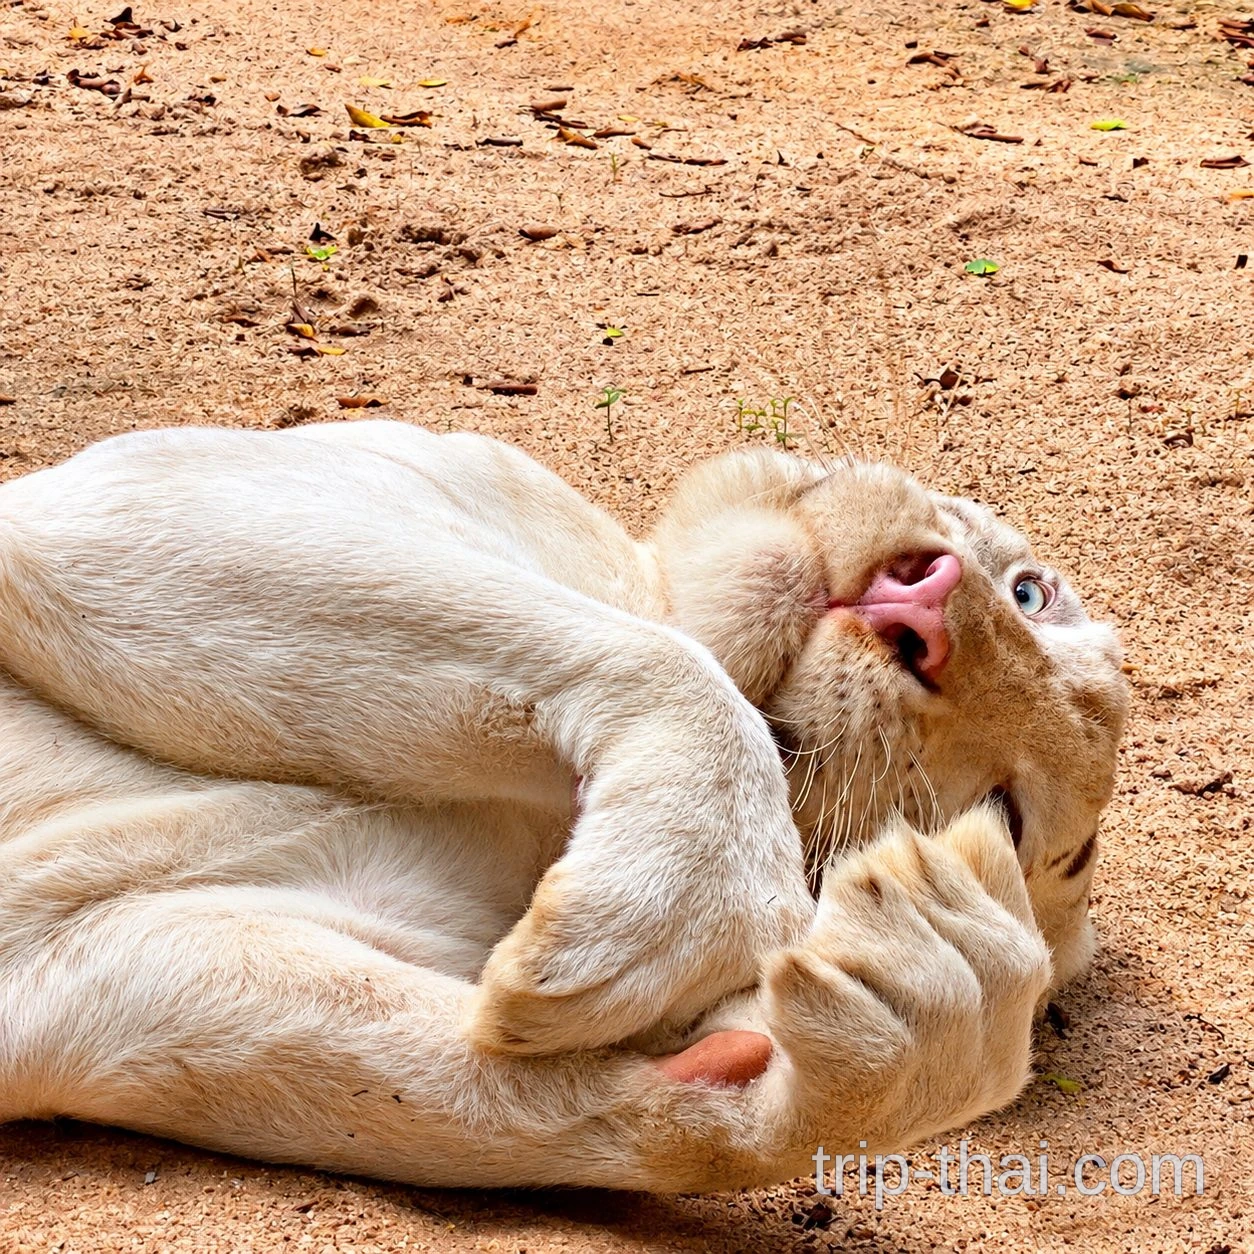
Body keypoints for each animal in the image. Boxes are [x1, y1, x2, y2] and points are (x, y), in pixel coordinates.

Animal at [0, 420, 1126, 1191]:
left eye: (1005, 813)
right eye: (1030, 594)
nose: (923, 605)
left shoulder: (89, 963)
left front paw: (923, 993)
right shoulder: (138, 501)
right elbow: (643, 658)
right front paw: (670, 910)